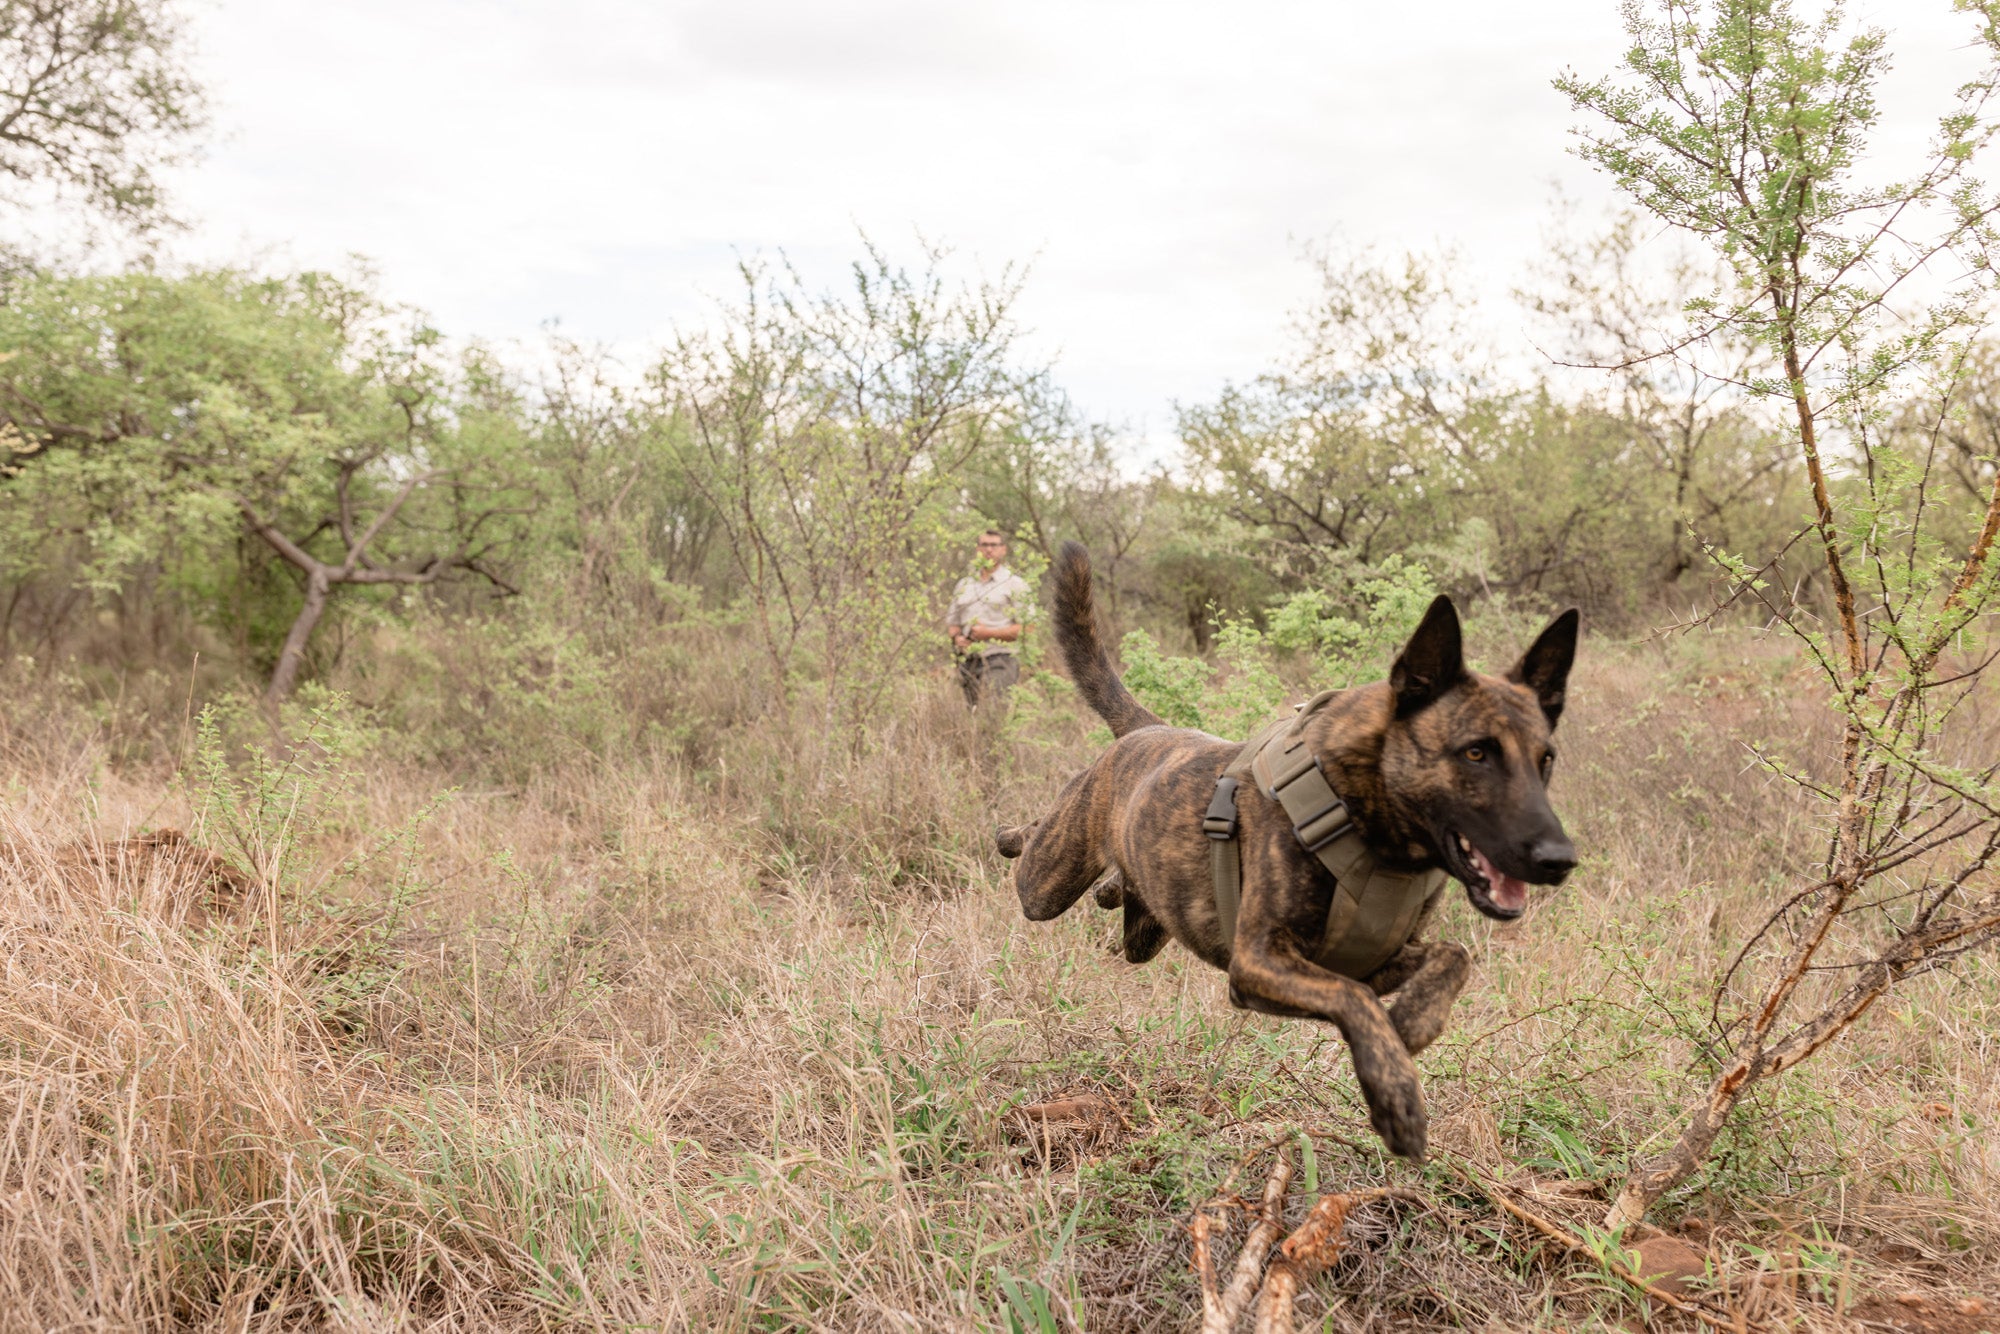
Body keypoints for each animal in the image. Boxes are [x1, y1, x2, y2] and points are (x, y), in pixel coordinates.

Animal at [1000, 544, 1576, 1160]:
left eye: (1546, 759)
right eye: (1475, 753)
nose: (1560, 859)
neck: (1369, 822)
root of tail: (1147, 730)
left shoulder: (1373, 961)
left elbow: (1452, 956)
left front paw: (1413, 1023)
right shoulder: (1259, 963)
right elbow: (1356, 998)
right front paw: (1395, 1090)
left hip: (1146, 933)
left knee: (1128, 914)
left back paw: (1109, 888)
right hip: (1047, 881)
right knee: (1032, 850)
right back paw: (1012, 835)